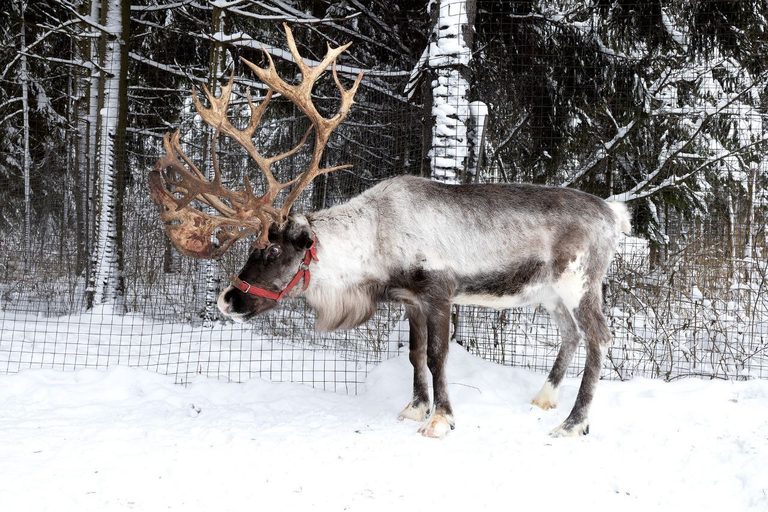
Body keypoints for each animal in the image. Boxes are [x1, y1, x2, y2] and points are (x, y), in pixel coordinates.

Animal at [149, 24, 631, 439]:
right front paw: (414, 408)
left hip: (581, 283)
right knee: (571, 335)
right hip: (549, 293)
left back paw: (573, 423)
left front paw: (441, 419)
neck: (374, 244)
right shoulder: (410, 300)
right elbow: (415, 355)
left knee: (599, 337)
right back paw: (543, 399)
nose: (226, 300)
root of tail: (614, 214)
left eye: (271, 250)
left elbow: (438, 357)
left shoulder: (439, 291)